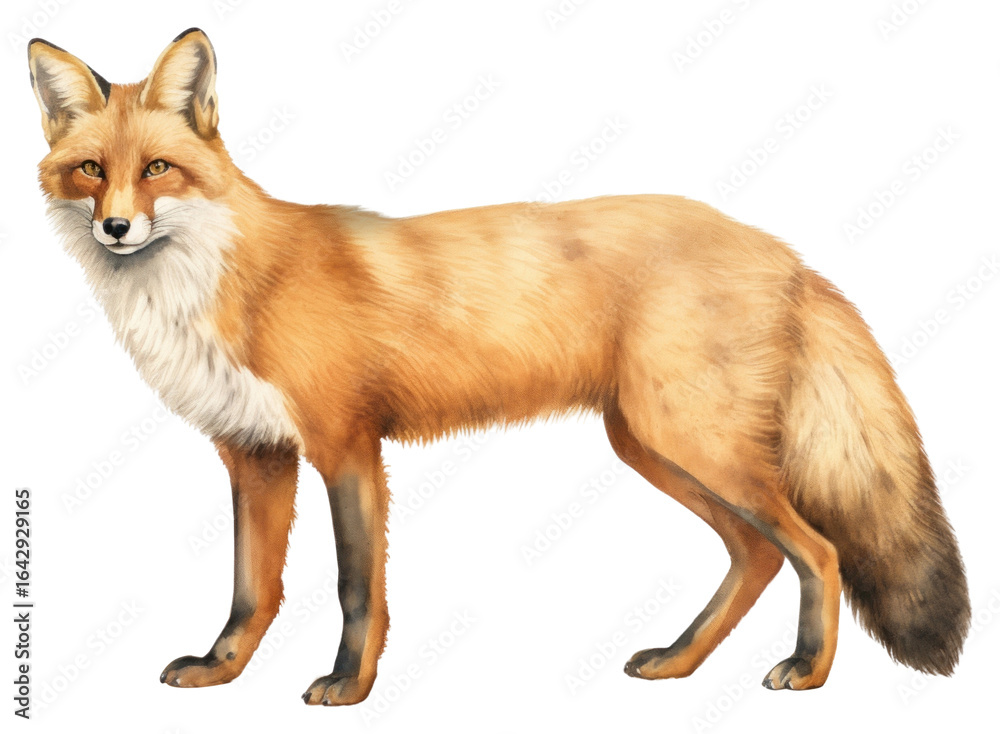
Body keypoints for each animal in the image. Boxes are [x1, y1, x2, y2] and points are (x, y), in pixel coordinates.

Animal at [28, 28, 970, 705]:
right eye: (90, 171)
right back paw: (678, 662)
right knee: (757, 556)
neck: (223, 286)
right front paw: (221, 672)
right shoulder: (254, 455)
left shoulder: (346, 445)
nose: (116, 228)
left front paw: (349, 686)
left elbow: (356, 586)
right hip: (655, 447)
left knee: (818, 551)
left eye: (157, 169)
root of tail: (782, 249)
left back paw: (807, 672)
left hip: (693, 442)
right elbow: (251, 591)